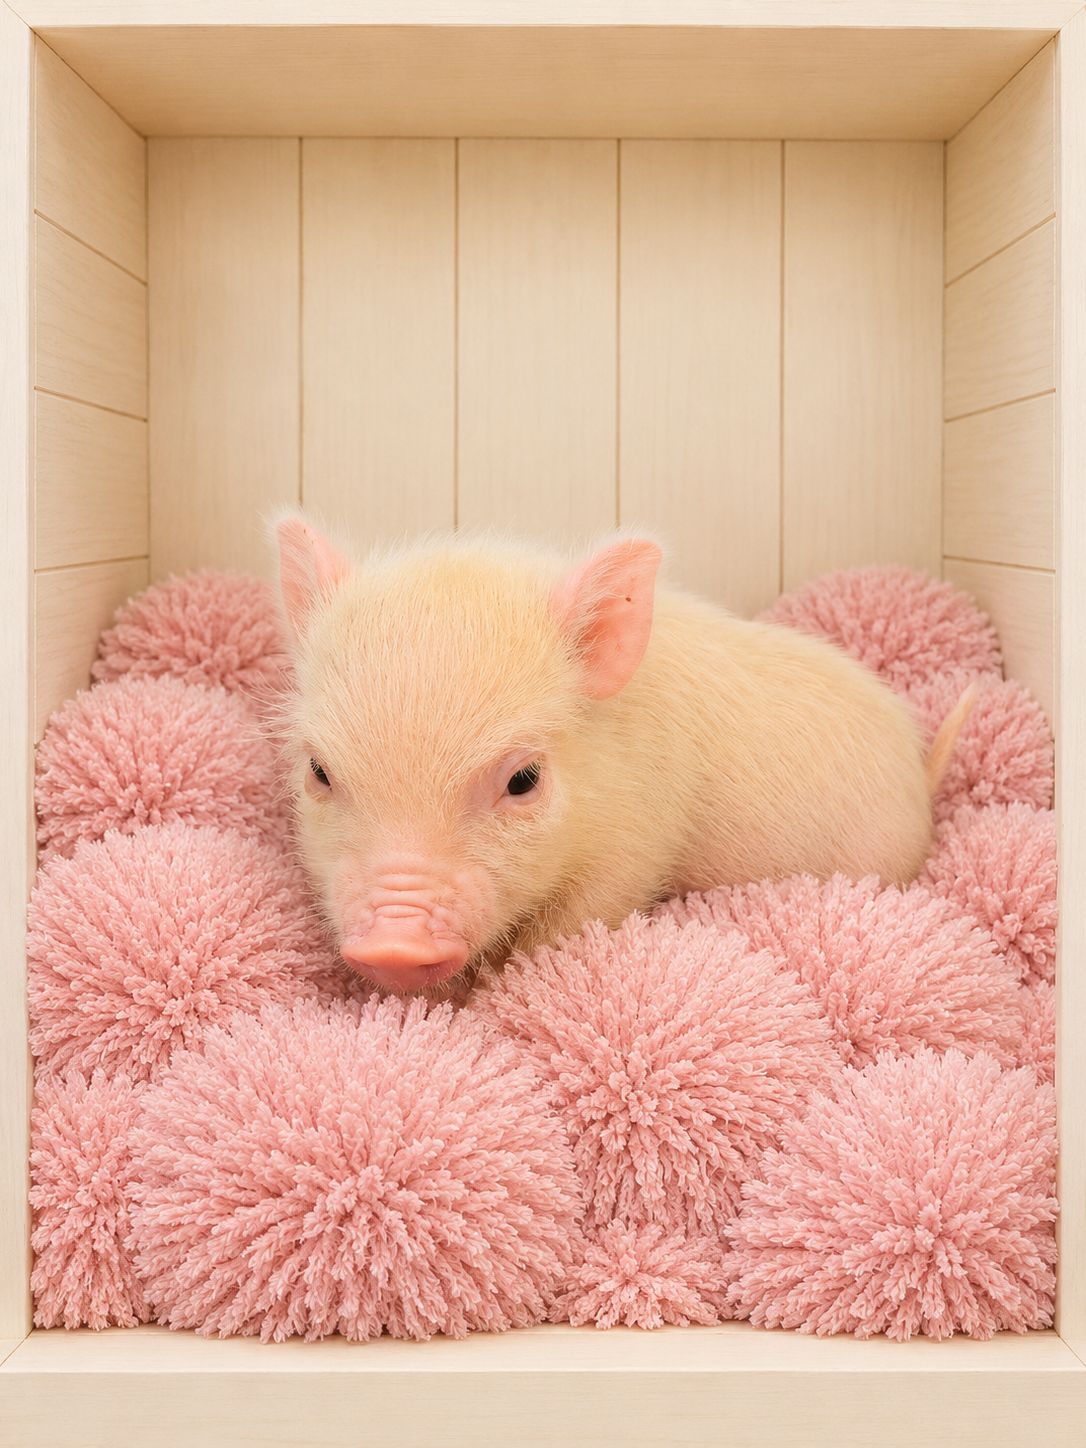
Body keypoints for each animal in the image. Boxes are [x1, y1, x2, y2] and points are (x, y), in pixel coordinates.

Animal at [275, 516, 965, 995]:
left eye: (523, 779)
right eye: (319, 772)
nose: (393, 945)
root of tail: (917, 771)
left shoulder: (639, 841)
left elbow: (572, 923)